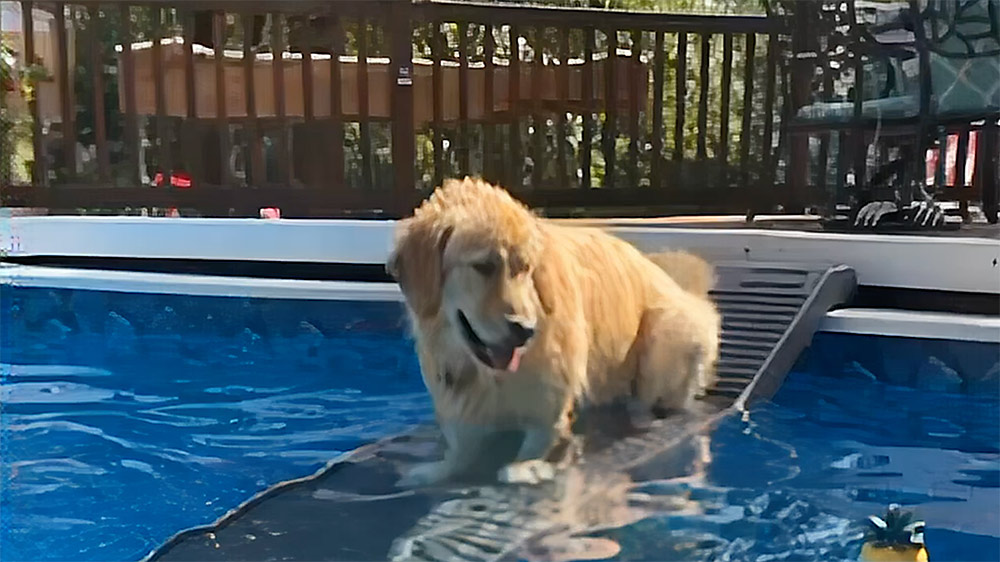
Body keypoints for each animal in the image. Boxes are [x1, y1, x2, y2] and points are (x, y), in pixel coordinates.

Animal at [384, 177, 720, 484]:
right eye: (483, 266)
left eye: (524, 268)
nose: (525, 331)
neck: (492, 375)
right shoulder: (463, 405)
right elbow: (459, 452)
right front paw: (434, 471)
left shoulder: (549, 408)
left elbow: (537, 445)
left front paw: (526, 468)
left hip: (666, 332)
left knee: (650, 399)